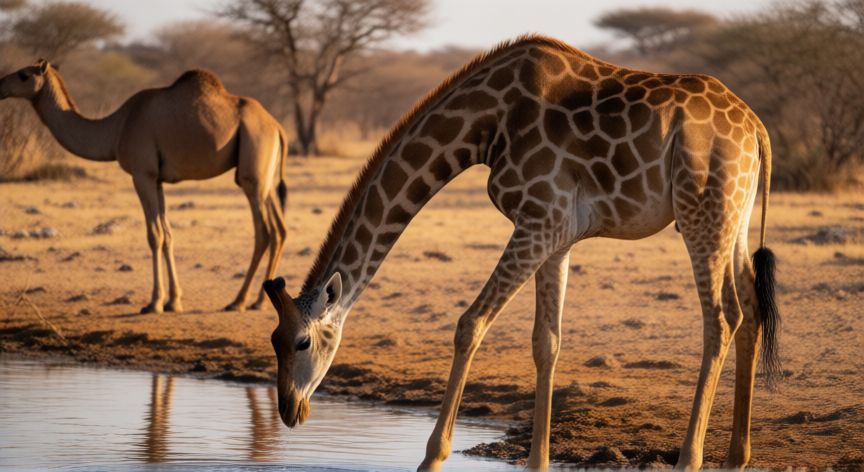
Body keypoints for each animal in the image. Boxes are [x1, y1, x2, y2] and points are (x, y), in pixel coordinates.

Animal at [0, 60, 289, 314]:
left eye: (24, 74)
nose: (0, 85)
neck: (117, 128)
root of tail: (278, 127)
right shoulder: (157, 179)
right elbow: (168, 234)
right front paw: (174, 301)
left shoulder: (142, 174)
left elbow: (154, 235)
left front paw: (154, 303)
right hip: (266, 179)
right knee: (280, 230)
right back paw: (260, 301)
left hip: (252, 175)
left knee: (264, 232)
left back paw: (238, 301)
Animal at [262, 35, 781, 470]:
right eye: (274, 340)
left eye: (302, 342)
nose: (289, 410)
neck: (486, 124)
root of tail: (757, 129)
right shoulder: (556, 235)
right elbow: (546, 342)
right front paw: (537, 462)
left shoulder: (537, 221)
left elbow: (469, 324)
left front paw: (432, 457)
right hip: (732, 218)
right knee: (752, 309)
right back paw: (736, 457)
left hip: (701, 213)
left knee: (721, 318)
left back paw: (690, 459)